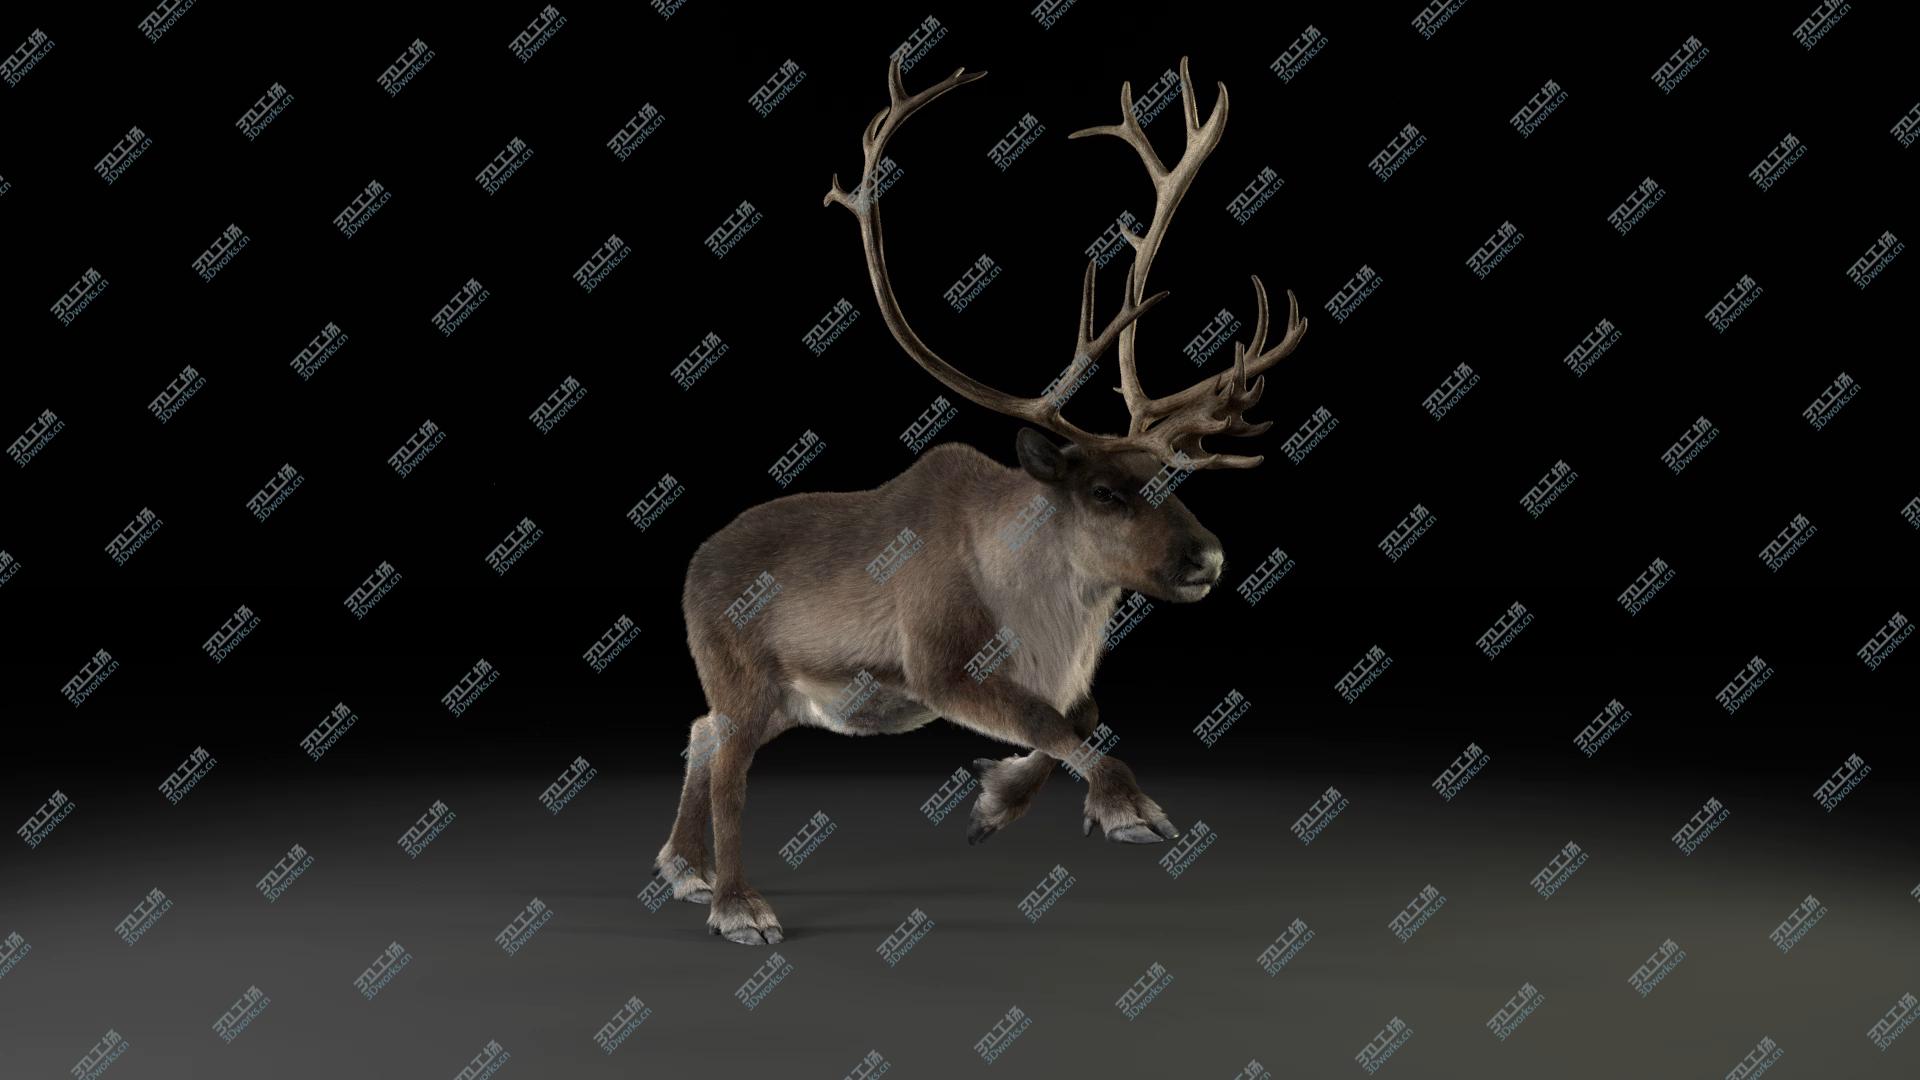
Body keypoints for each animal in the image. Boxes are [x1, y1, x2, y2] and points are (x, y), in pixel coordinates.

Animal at [652, 55, 1308, 944]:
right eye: (1105, 490)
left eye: (1175, 480)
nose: (1209, 557)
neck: (1044, 602)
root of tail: (692, 565)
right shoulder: (939, 664)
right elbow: (1053, 723)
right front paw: (1130, 809)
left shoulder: (1056, 674)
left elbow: (1079, 715)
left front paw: (996, 801)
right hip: (745, 673)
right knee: (727, 766)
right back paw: (736, 905)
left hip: (788, 699)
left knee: (699, 731)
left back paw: (684, 869)